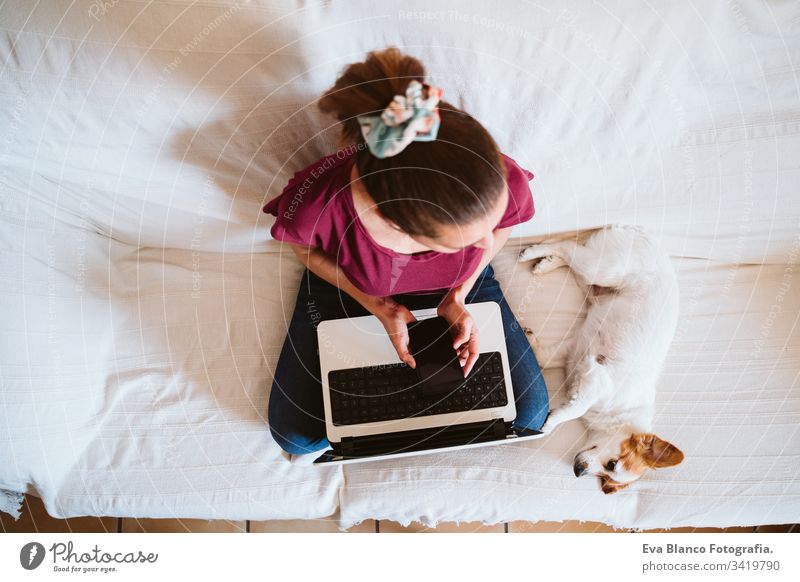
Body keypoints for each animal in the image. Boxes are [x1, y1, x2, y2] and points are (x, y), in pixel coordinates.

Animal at [520, 226, 684, 496]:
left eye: (604, 478)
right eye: (612, 464)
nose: (578, 472)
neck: (622, 413)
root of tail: (644, 232)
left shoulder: (573, 349)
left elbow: (543, 358)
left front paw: (529, 339)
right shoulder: (596, 378)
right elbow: (573, 409)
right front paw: (550, 424)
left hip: (590, 282)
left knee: (571, 251)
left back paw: (546, 263)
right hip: (602, 270)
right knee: (569, 246)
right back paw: (532, 253)